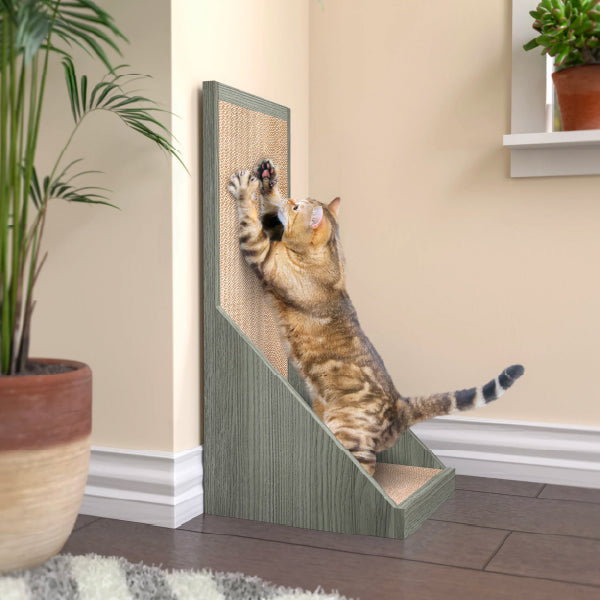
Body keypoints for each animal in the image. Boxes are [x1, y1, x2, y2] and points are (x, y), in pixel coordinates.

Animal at [227, 161, 524, 478]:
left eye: (296, 207)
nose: (290, 200)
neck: (330, 257)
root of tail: (400, 404)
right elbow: (269, 215)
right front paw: (268, 179)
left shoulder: (263, 254)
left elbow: (251, 220)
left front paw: (246, 187)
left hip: (347, 432)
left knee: (365, 468)